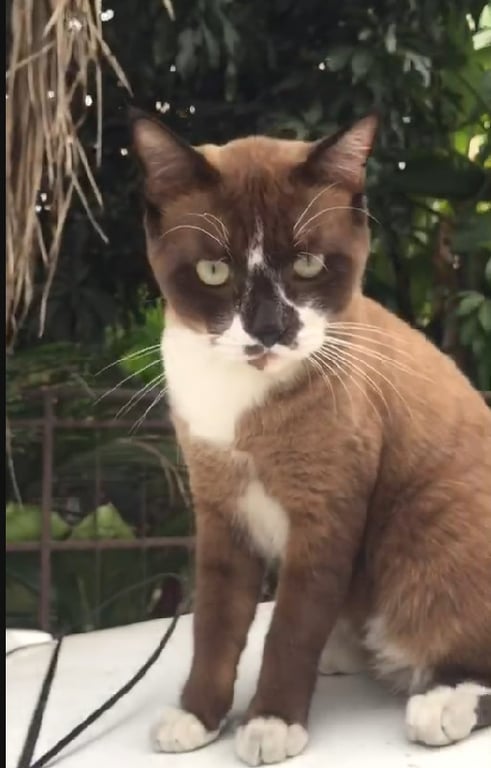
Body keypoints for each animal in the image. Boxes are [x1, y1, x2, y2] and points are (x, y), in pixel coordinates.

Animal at [131, 108, 491, 766]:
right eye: (214, 271)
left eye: (307, 266)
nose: (270, 329)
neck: (241, 401)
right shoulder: (220, 512)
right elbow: (214, 627)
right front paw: (199, 716)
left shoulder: (324, 515)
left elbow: (291, 630)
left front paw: (271, 721)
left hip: (426, 538)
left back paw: (438, 704)